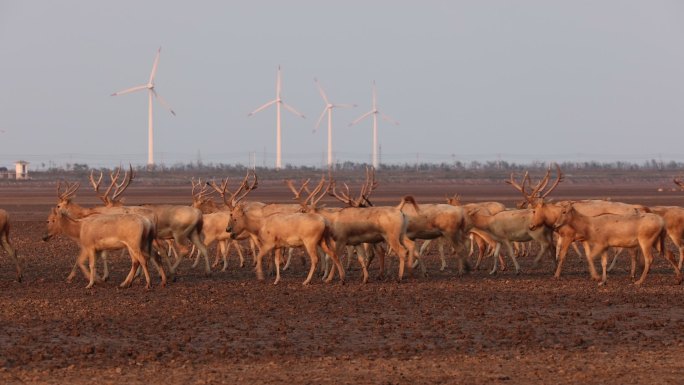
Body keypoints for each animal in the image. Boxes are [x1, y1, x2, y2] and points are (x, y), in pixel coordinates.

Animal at [552, 201, 680, 284]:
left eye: (564, 211)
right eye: (560, 211)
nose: (556, 225)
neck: (590, 224)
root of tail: (662, 222)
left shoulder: (600, 244)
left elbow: (590, 257)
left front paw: (597, 277)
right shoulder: (605, 247)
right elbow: (603, 262)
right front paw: (602, 281)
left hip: (646, 242)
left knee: (649, 259)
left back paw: (638, 281)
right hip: (657, 242)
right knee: (670, 254)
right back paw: (679, 279)